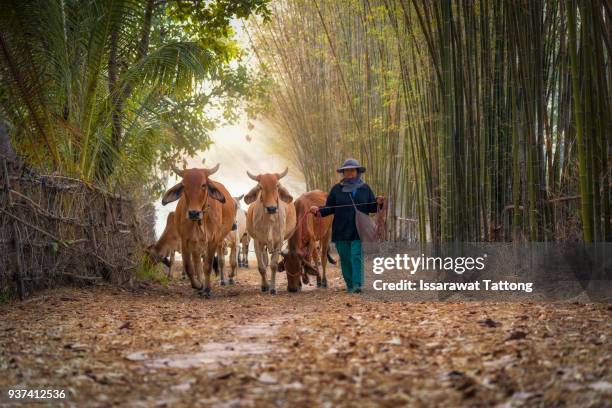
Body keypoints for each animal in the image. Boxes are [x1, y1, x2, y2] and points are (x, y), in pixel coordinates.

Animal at [161, 164, 235, 298]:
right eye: (184, 185)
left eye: (203, 185)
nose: (193, 213)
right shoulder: (185, 240)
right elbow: (189, 267)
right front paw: (198, 285)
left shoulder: (213, 241)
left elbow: (208, 266)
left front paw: (208, 289)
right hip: (196, 245)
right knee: (196, 264)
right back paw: (200, 286)